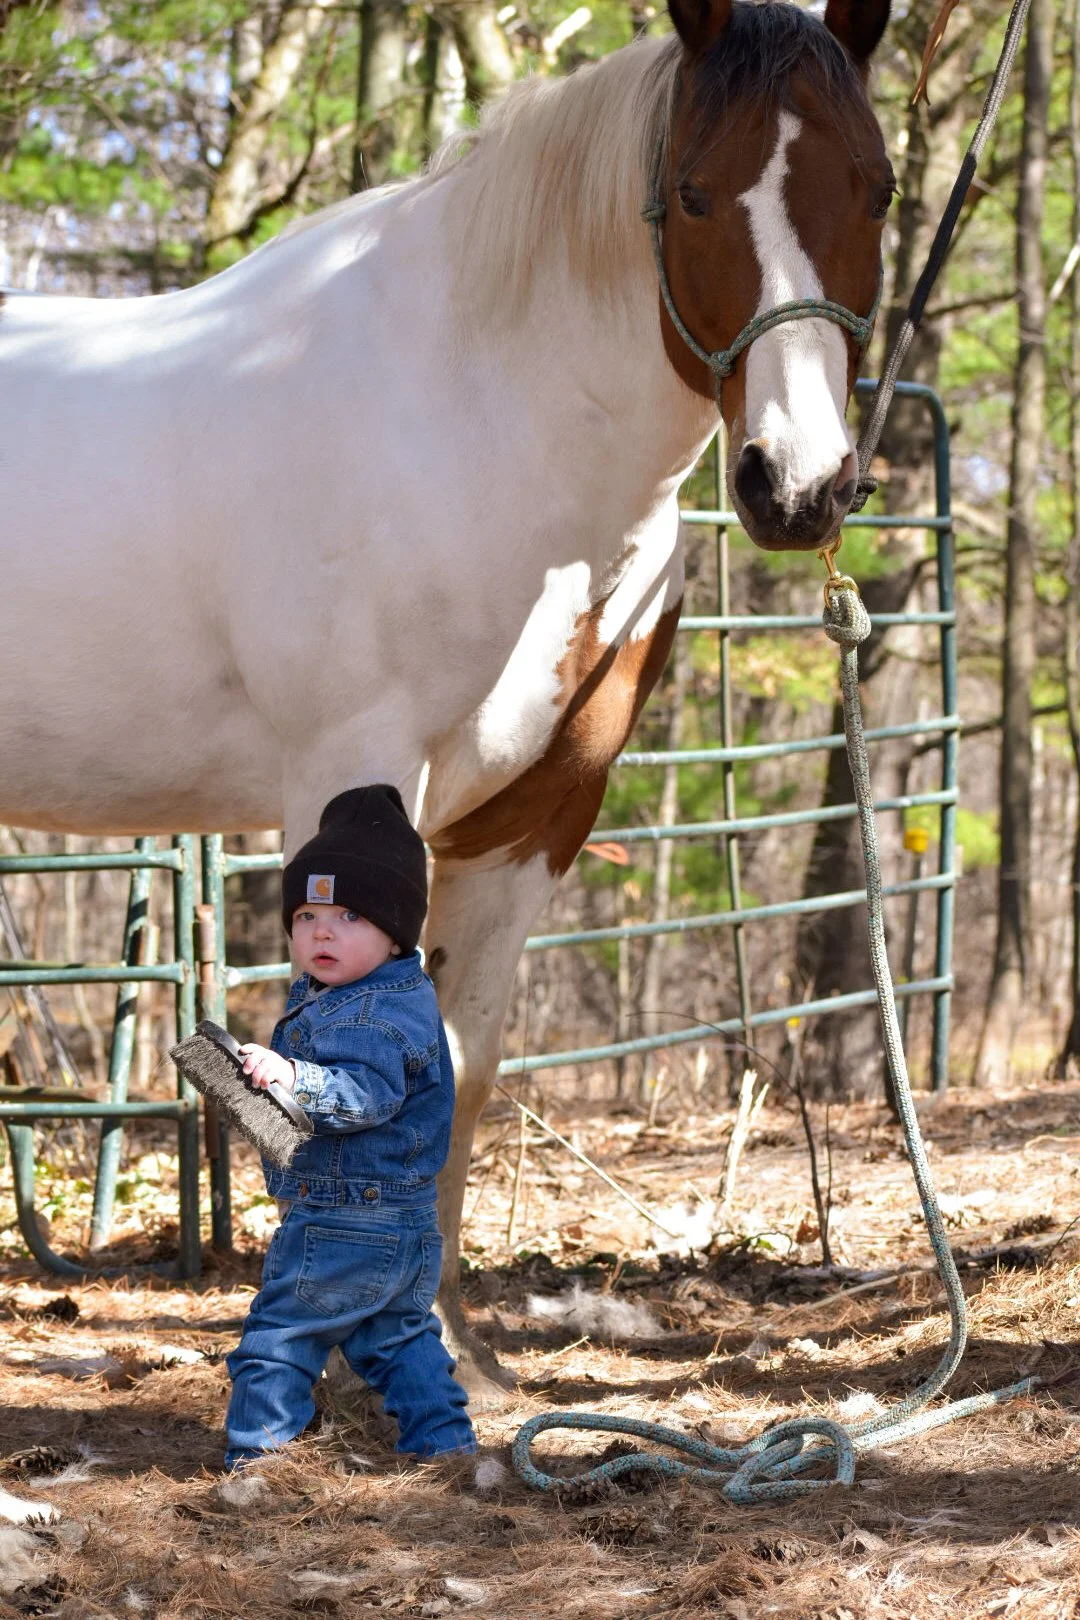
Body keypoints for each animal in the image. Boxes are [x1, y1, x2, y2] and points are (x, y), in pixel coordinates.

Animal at [0, 0, 893, 1397]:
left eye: (881, 187)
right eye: (696, 194)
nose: (796, 486)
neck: (471, 412)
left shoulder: (538, 816)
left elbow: (458, 1068)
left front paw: (448, 1357)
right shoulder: (351, 777)